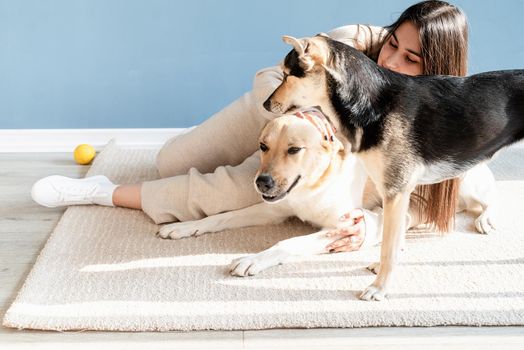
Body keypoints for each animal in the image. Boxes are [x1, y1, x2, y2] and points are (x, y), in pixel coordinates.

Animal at [264, 33, 524, 300]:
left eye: (287, 75)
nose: (265, 104)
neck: (371, 103)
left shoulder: (395, 192)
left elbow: (388, 248)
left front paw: (379, 288)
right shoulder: (398, 194)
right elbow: (395, 240)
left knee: (490, 198)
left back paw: (486, 219)